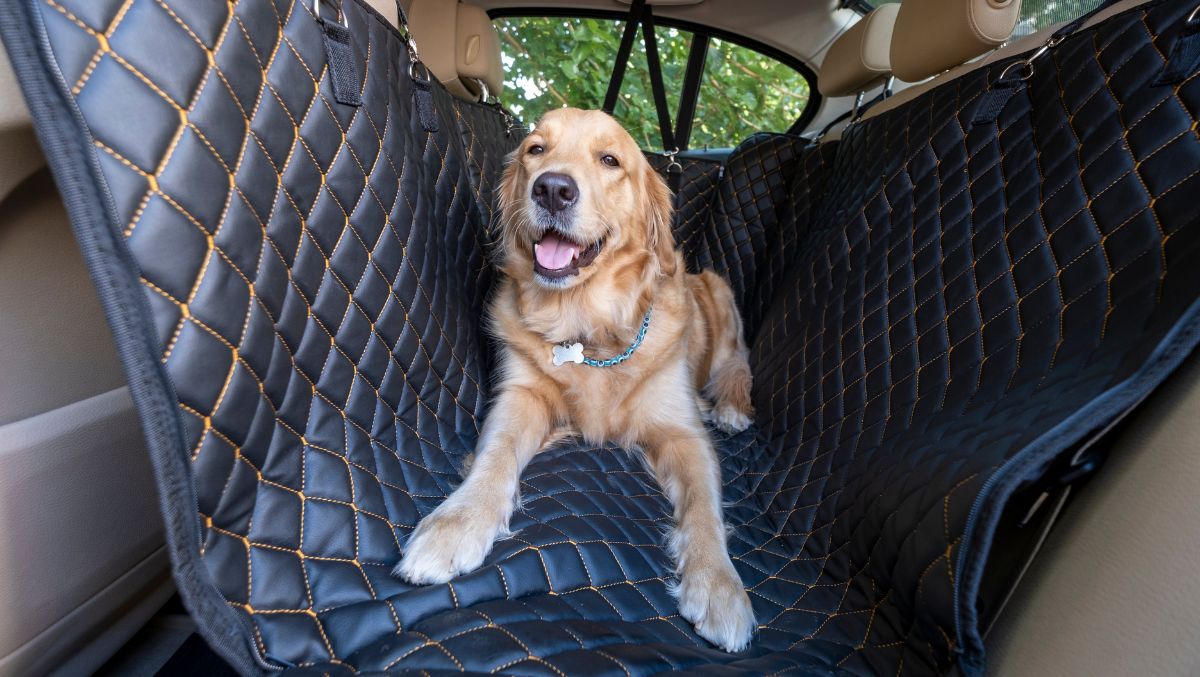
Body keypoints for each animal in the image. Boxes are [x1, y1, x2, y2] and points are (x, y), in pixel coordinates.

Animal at [393, 108, 753, 652]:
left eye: (610, 160)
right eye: (535, 150)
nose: (552, 189)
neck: (586, 327)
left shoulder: (684, 434)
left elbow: (704, 510)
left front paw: (719, 587)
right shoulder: (520, 395)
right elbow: (495, 457)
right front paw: (456, 525)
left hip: (720, 294)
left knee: (737, 365)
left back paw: (729, 406)